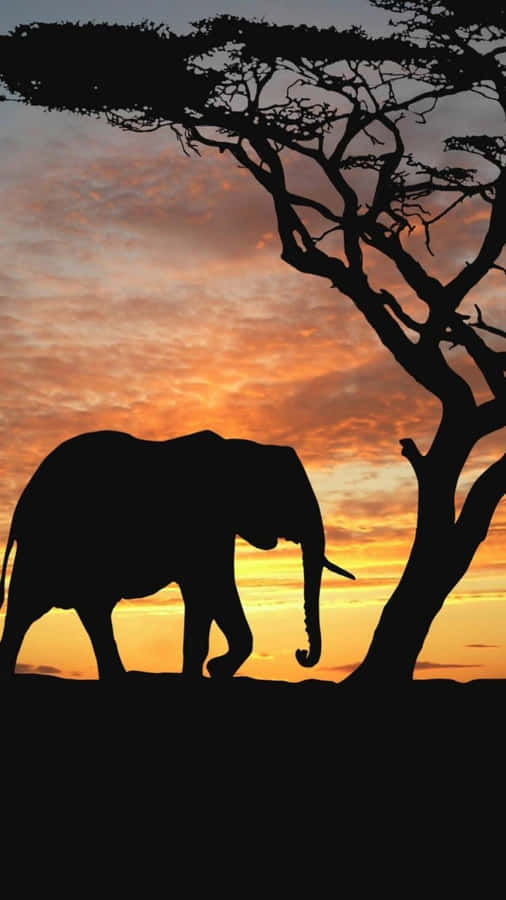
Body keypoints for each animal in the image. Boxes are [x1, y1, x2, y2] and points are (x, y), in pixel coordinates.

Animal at [0, 429, 354, 679]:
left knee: (88, 610)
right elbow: (212, 587)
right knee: (26, 610)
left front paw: (212, 671)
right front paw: (212, 670)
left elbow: (211, 595)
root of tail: (22, 503)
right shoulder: (204, 525)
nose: (300, 653)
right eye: (289, 497)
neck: (242, 449)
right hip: (48, 546)